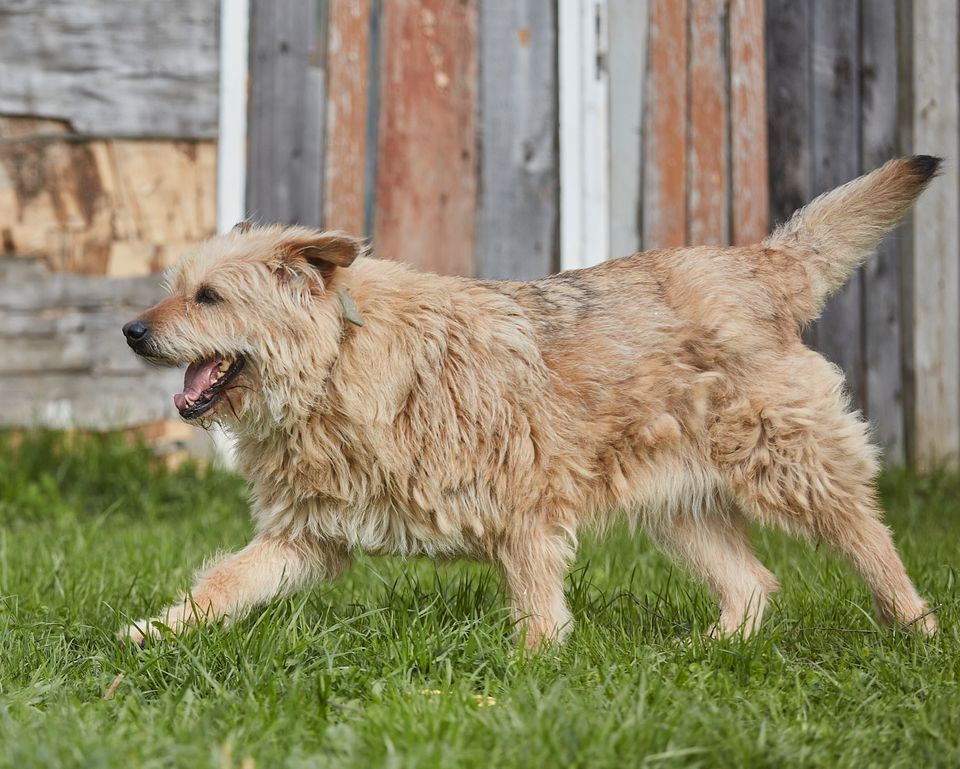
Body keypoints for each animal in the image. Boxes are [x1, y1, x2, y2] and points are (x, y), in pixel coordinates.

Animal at [120, 156, 936, 648]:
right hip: (679, 505)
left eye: (208, 296)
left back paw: (918, 628)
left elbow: (537, 604)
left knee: (869, 538)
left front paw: (532, 672)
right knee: (754, 583)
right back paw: (715, 649)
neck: (335, 364)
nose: (131, 330)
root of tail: (756, 263)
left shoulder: (524, 509)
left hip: (790, 463)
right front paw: (154, 634)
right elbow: (223, 583)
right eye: (173, 287)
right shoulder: (305, 538)